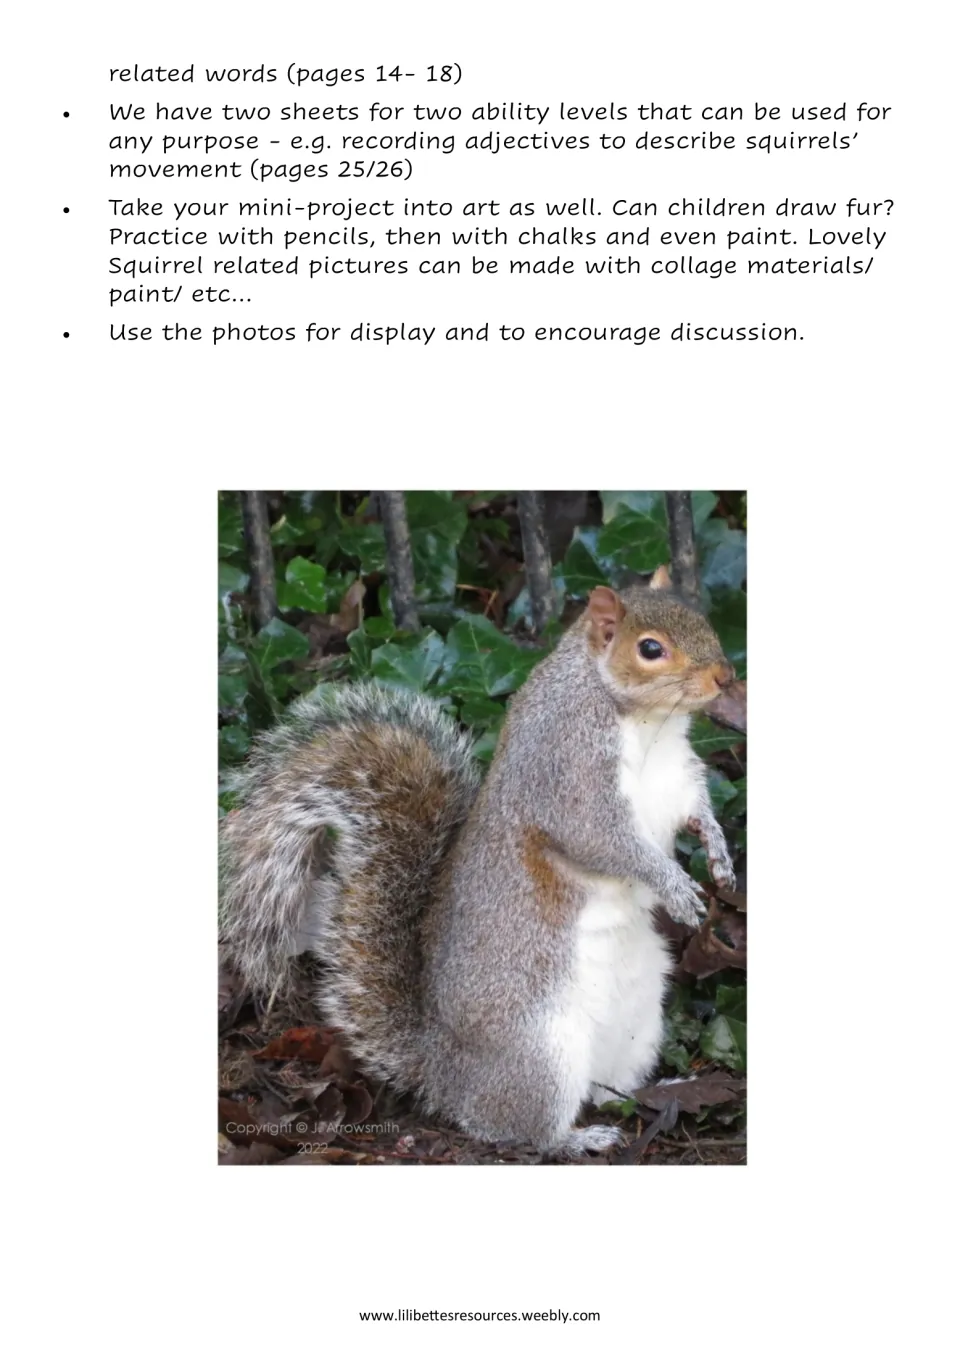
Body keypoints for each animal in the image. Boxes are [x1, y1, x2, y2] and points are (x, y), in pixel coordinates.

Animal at [220, 566, 737, 1157]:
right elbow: (602, 840)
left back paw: (661, 1089)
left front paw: (720, 854)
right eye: (651, 648)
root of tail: (441, 1070)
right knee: (512, 1126)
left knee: (607, 1088)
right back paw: (575, 1139)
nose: (726, 677)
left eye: (701, 616)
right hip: (539, 1053)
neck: (649, 724)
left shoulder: (677, 777)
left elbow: (695, 810)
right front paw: (673, 886)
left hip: (640, 1024)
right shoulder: (566, 771)